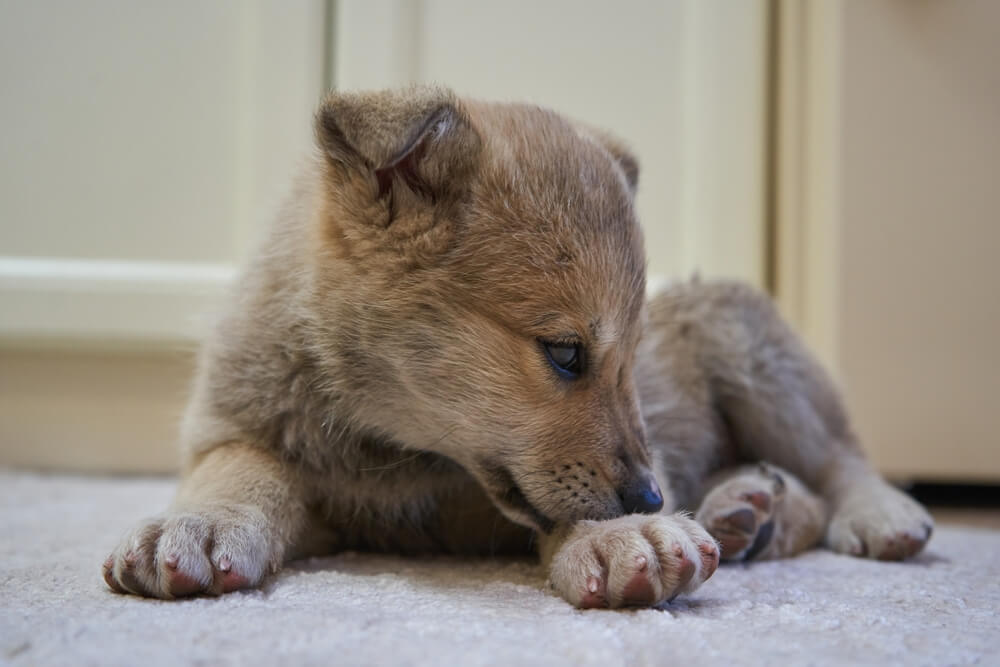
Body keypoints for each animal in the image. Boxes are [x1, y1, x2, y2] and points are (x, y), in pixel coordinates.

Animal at [101, 87, 928, 612]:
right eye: (565, 352)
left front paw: (624, 535)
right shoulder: (239, 436)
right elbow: (244, 471)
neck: (401, 448)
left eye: (632, 354)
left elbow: (568, 502)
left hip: (756, 357)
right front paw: (197, 524)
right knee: (799, 490)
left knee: (837, 463)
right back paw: (742, 510)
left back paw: (871, 515)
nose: (648, 497)